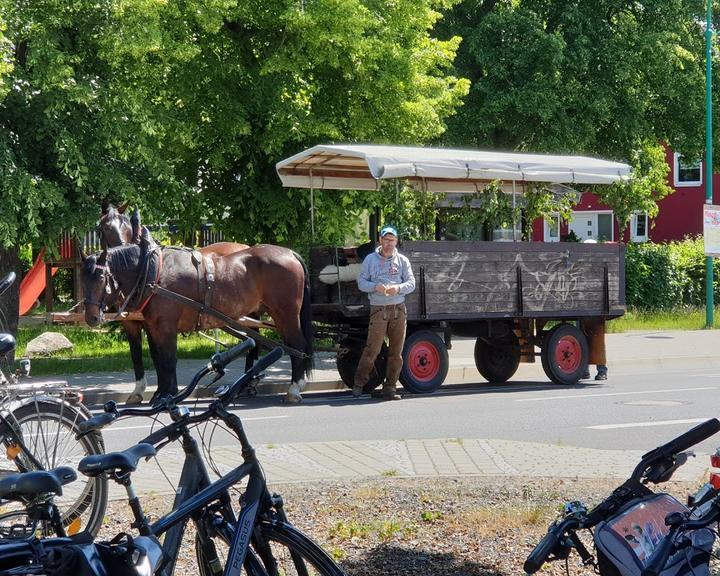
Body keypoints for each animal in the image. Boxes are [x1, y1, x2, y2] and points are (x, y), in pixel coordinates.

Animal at [97, 208, 250, 404]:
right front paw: (145, 391)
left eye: (126, 226)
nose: (121, 251)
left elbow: (159, 356)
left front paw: (164, 392)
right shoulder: (133, 323)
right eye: (105, 228)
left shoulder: (154, 323)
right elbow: (139, 354)